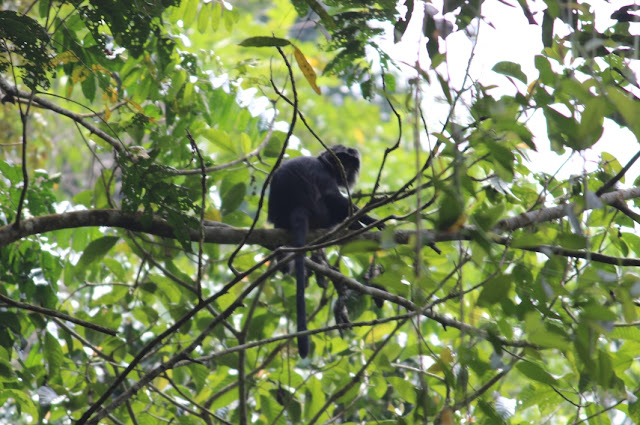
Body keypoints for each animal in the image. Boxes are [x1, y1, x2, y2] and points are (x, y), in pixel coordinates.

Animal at [268, 144, 382, 356]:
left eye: (349, 164)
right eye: (341, 161)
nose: (345, 170)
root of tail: (297, 209)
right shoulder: (323, 174)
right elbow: (335, 198)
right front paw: (374, 221)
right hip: (322, 214)